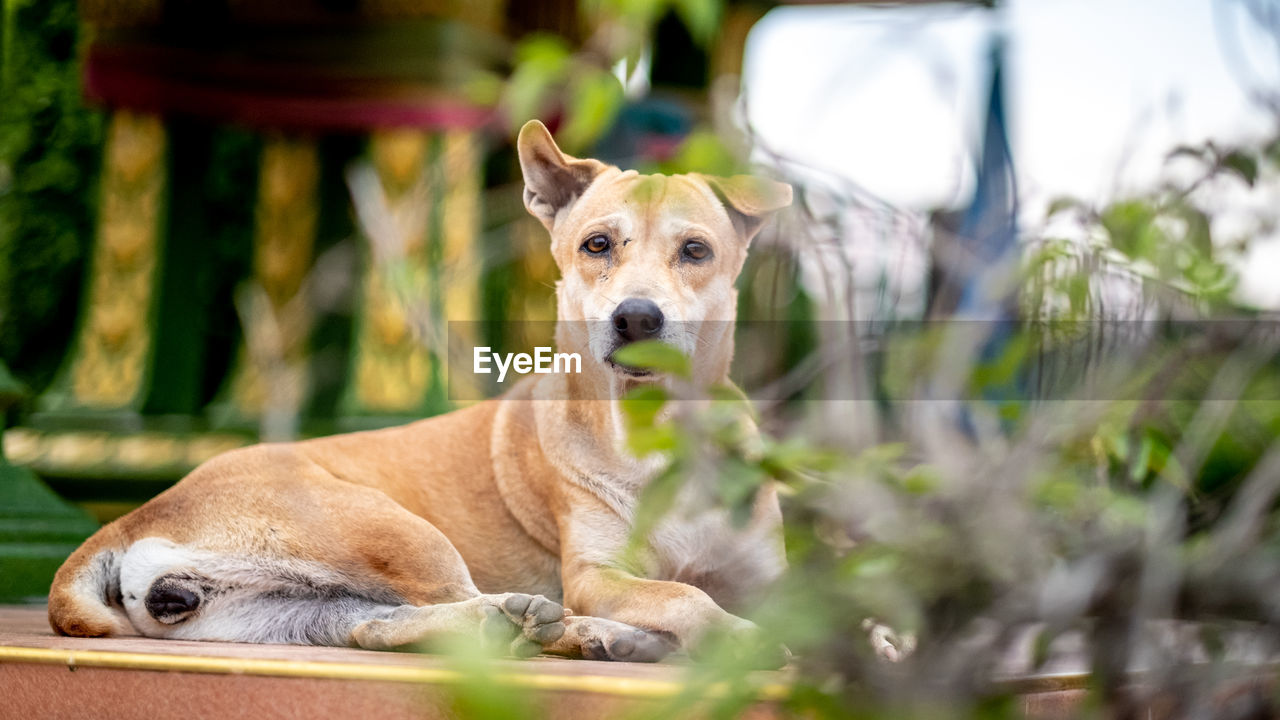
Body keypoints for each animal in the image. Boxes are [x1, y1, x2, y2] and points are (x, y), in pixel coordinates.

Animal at [49, 119, 793, 661]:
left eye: (695, 251)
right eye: (598, 245)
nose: (637, 318)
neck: (662, 435)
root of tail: (132, 516)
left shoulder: (772, 577)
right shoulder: (595, 574)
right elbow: (683, 597)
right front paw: (738, 638)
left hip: (287, 611)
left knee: (380, 624)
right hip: (402, 531)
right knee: (479, 604)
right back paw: (581, 632)